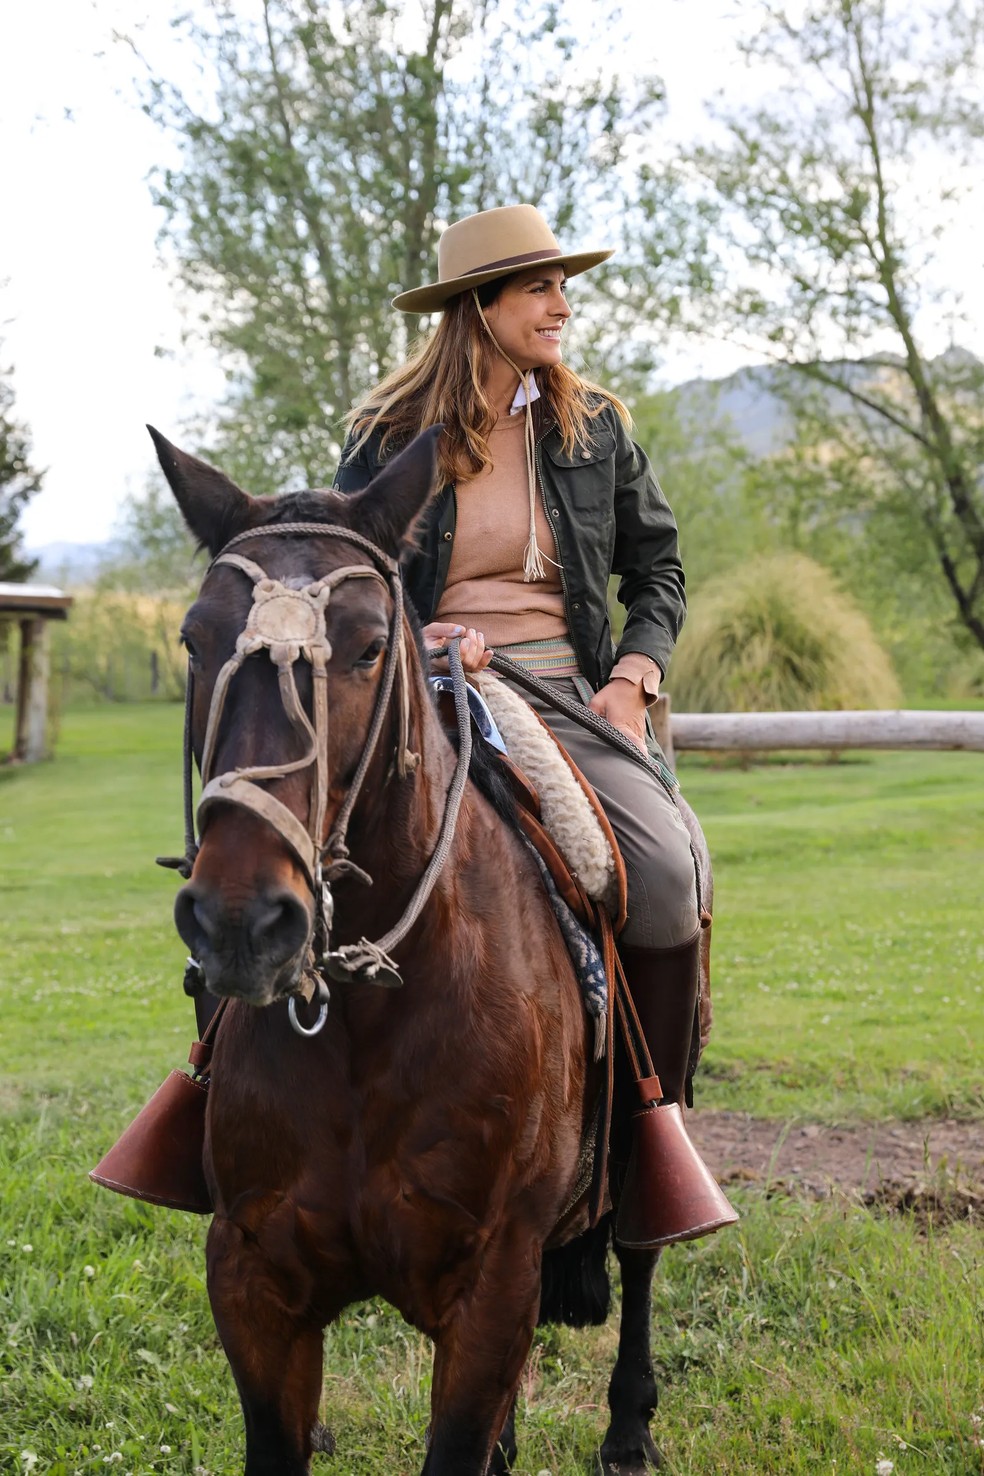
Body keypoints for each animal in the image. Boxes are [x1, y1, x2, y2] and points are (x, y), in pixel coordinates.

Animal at [151, 423, 669, 1476]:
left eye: (370, 646)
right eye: (193, 638)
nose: (241, 920)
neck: (369, 1022)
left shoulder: (493, 1290)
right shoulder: (252, 1286)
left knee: (639, 1253)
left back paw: (629, 1426)